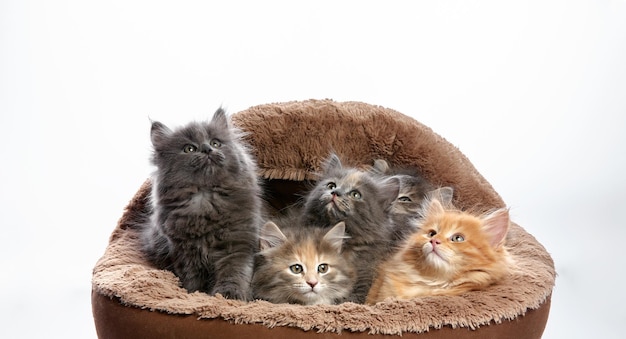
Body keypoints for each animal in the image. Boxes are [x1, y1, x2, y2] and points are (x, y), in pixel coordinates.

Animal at [141, 107, 260, 302]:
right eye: (189, 148)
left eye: (216, 143)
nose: (206, 149)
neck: (206, 200)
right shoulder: (184, 252)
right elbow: (192, 279)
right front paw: (195, 294)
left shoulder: (237, 244)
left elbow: (234, 273)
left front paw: (229, 296)